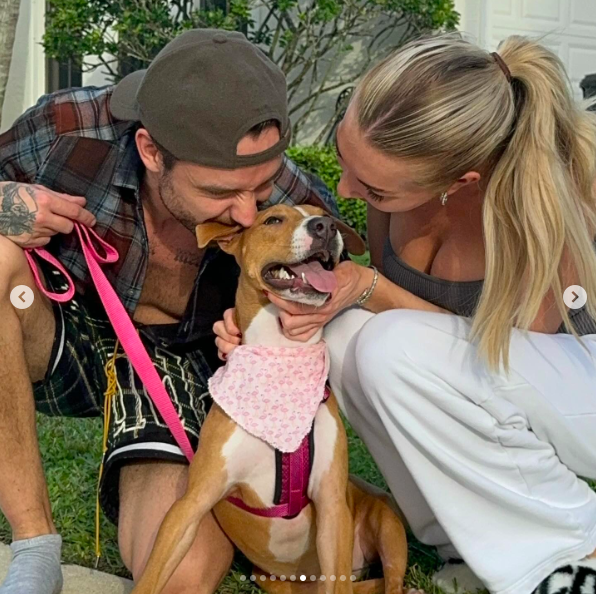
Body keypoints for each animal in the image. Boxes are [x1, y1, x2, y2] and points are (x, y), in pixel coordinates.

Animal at [132, 205, 410, 592]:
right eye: (273, 220)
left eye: (324, 216)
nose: (325, 226)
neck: (283, 353)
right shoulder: (191, 504)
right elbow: (153, 574)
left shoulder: (332, 506)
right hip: (274, 580)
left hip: (388, 528)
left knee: (391, 581)